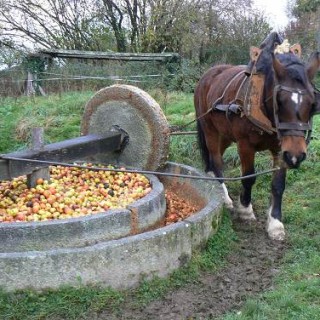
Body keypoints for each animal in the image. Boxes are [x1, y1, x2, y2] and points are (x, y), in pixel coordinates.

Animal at [194, 35, 320, 240]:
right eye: (279, 101)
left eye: (312, 103)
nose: (296, 156)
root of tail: (209, 73)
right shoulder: (245, 145)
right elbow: (248, 177)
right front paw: (245, 210)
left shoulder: (281, 149)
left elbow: (278, 185)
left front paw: (275, 223)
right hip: (210, 130)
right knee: (216, 159)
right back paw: (224, 195)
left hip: (225, 134)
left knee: (214, 157)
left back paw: (210, 177)